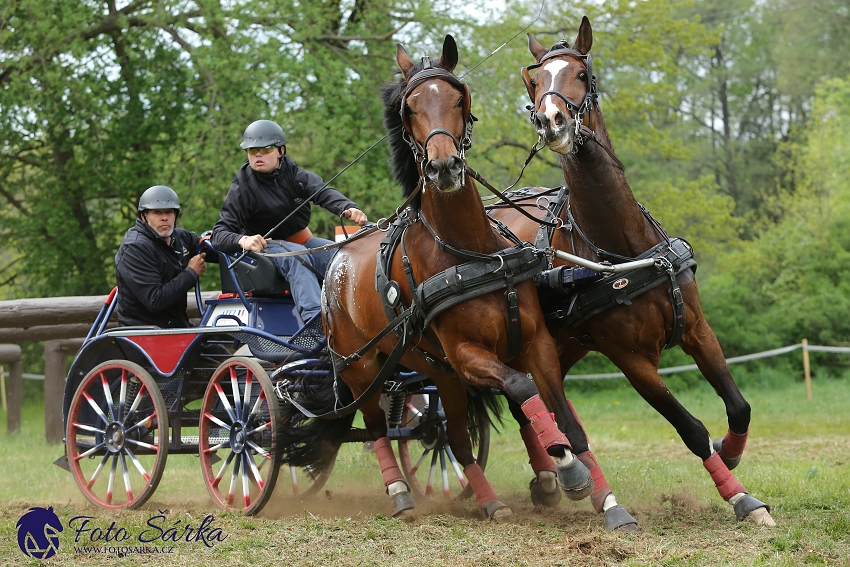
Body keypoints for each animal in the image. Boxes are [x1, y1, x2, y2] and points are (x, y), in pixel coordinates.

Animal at [278, 35, 596, 520]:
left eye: (458, 97)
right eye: (409, 108)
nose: (443, 167)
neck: (470, 253)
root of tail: (337, 256)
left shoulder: (534, 341)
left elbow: (558, 408)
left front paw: (591, 487)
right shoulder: (467, 355)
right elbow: (522, 387)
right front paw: (565, 466)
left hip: (434, 370)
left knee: (455, 440)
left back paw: (486, 499)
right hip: (361, 370)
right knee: (377, 429)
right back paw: (400, 493)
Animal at [490, 14, 776, 528]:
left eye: (582, 74)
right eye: (535, 81)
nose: (551, 120)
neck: (624, 249)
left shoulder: (697, 329)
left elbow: (738, 406)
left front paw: (732, 452)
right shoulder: (632, 359)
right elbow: (690, 428)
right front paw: (740, 496)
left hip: (559, 345)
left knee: (538, 408)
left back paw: (553, 479)